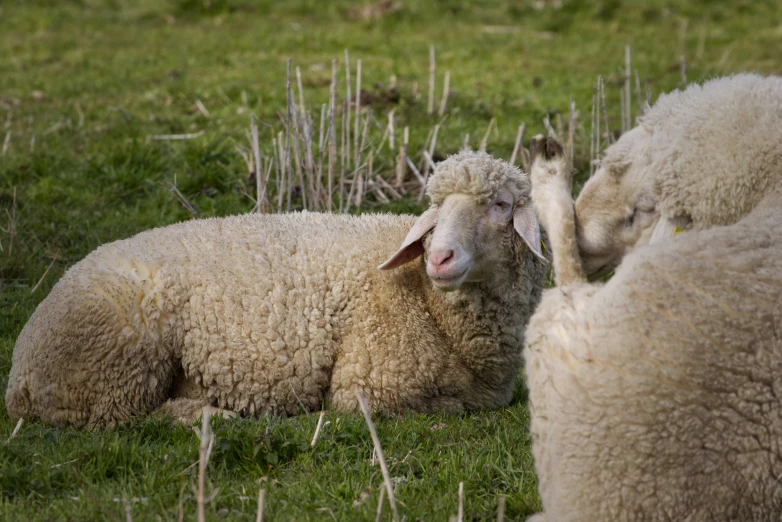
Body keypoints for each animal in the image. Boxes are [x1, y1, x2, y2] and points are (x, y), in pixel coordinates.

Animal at [4, 148, 552, 428]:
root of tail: (19, 378)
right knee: (129, 419)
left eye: (501, 205)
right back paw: (213, 415)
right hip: (120, 367)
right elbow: (446, 406)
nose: (439, 257)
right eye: (437, 209)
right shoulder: (367, 387)